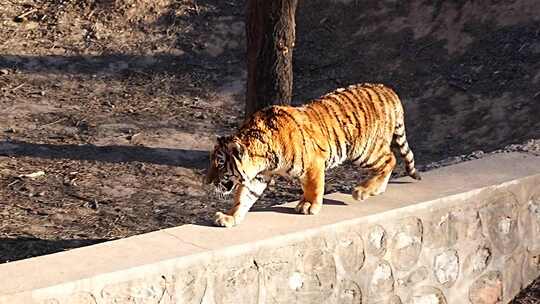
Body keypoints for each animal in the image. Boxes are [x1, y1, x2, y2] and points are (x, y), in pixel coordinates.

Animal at [205, 82, 420, 227]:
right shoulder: (258, 177)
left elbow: (314, 187)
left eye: (220, 164)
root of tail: (387, 90)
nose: (207, 182)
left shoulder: (313, 164)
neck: (263, 159)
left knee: (390, 159)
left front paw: (308, 206)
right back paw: (376, 190)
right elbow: (243, 198)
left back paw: (362, 190)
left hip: (364, 150)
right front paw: (230, 217)